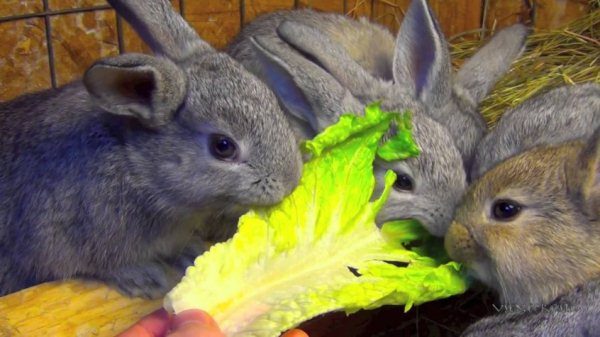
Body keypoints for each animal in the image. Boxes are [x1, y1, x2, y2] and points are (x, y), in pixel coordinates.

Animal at [0, 0, 302, 300]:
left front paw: (193, 252)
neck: (139, 166)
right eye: (223, 146)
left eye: (272, 100)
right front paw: (145, 278)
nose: (290, 181)